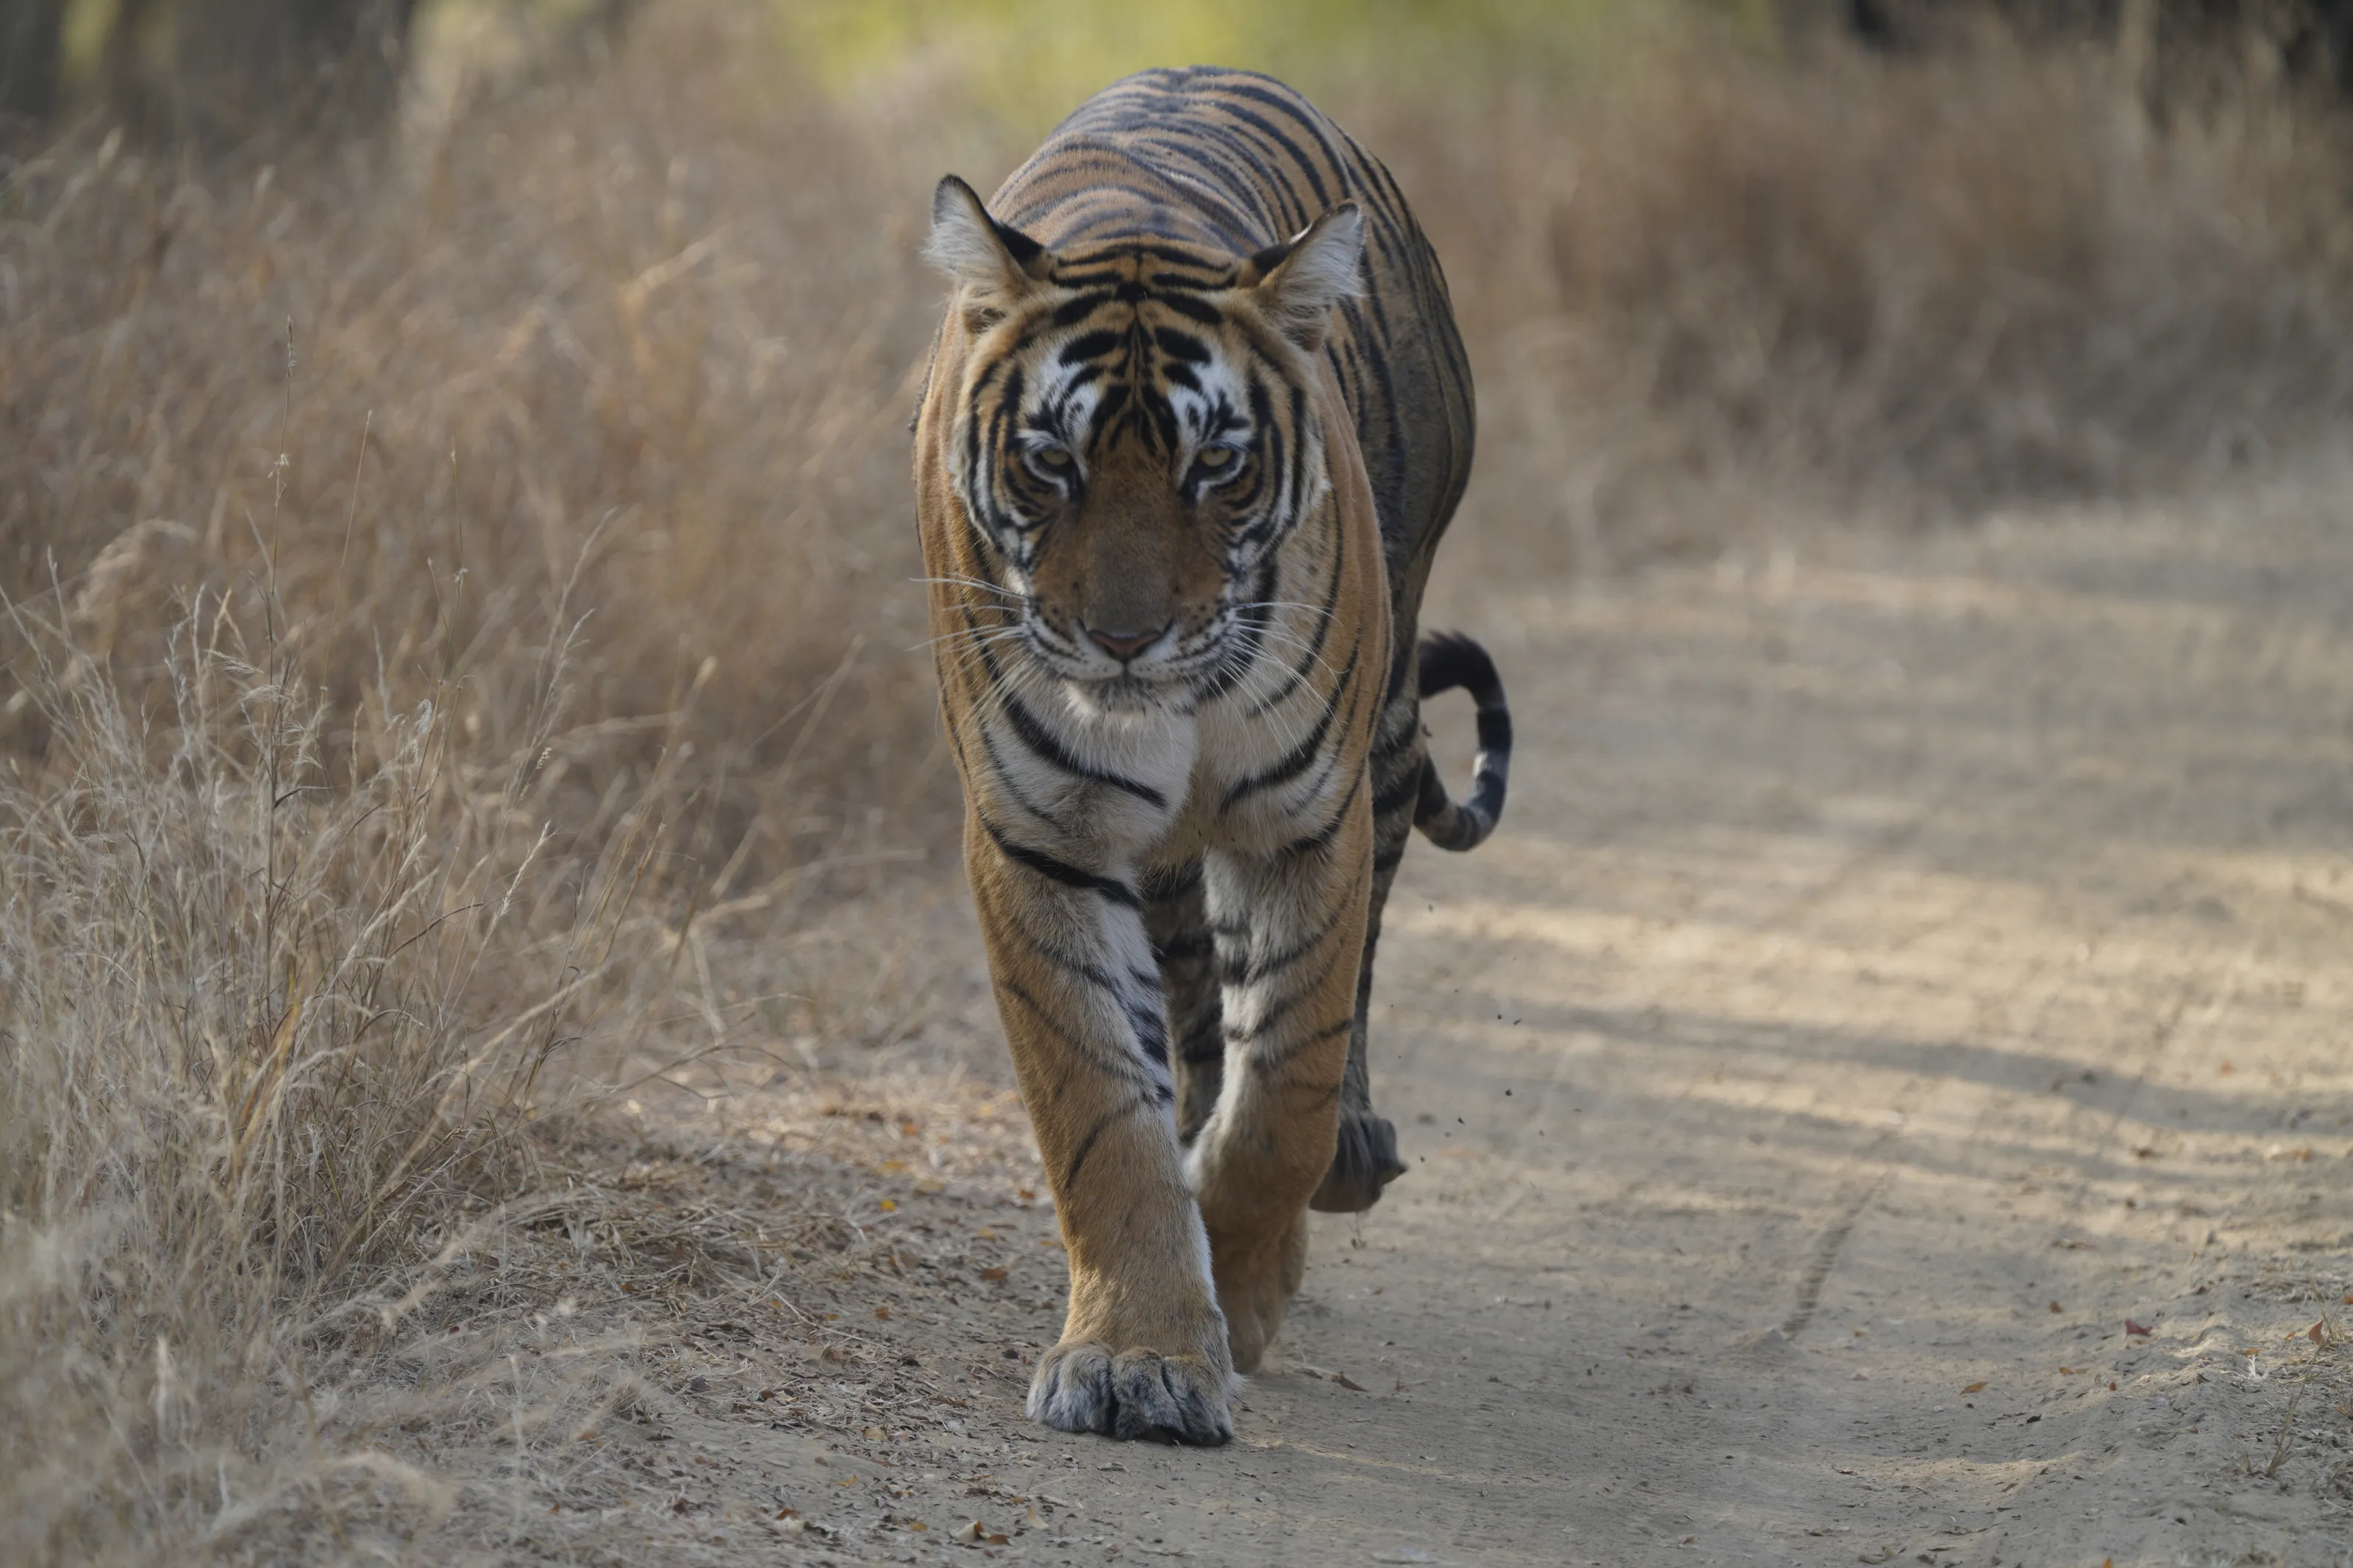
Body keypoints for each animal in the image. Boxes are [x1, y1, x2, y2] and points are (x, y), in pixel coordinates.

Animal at [912, 66, 1511, 1444]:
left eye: (1217, 468)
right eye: (1051, 463)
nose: (1127, 638)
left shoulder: (1306, 819)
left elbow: (1284, 1086)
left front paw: (1243, 1282)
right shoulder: (1042, 836)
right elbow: (1102, 1113)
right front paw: (1136, 1356)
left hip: (1383, 737)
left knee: (1335, 996)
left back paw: (1348, 1157)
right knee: (1190, 1013)